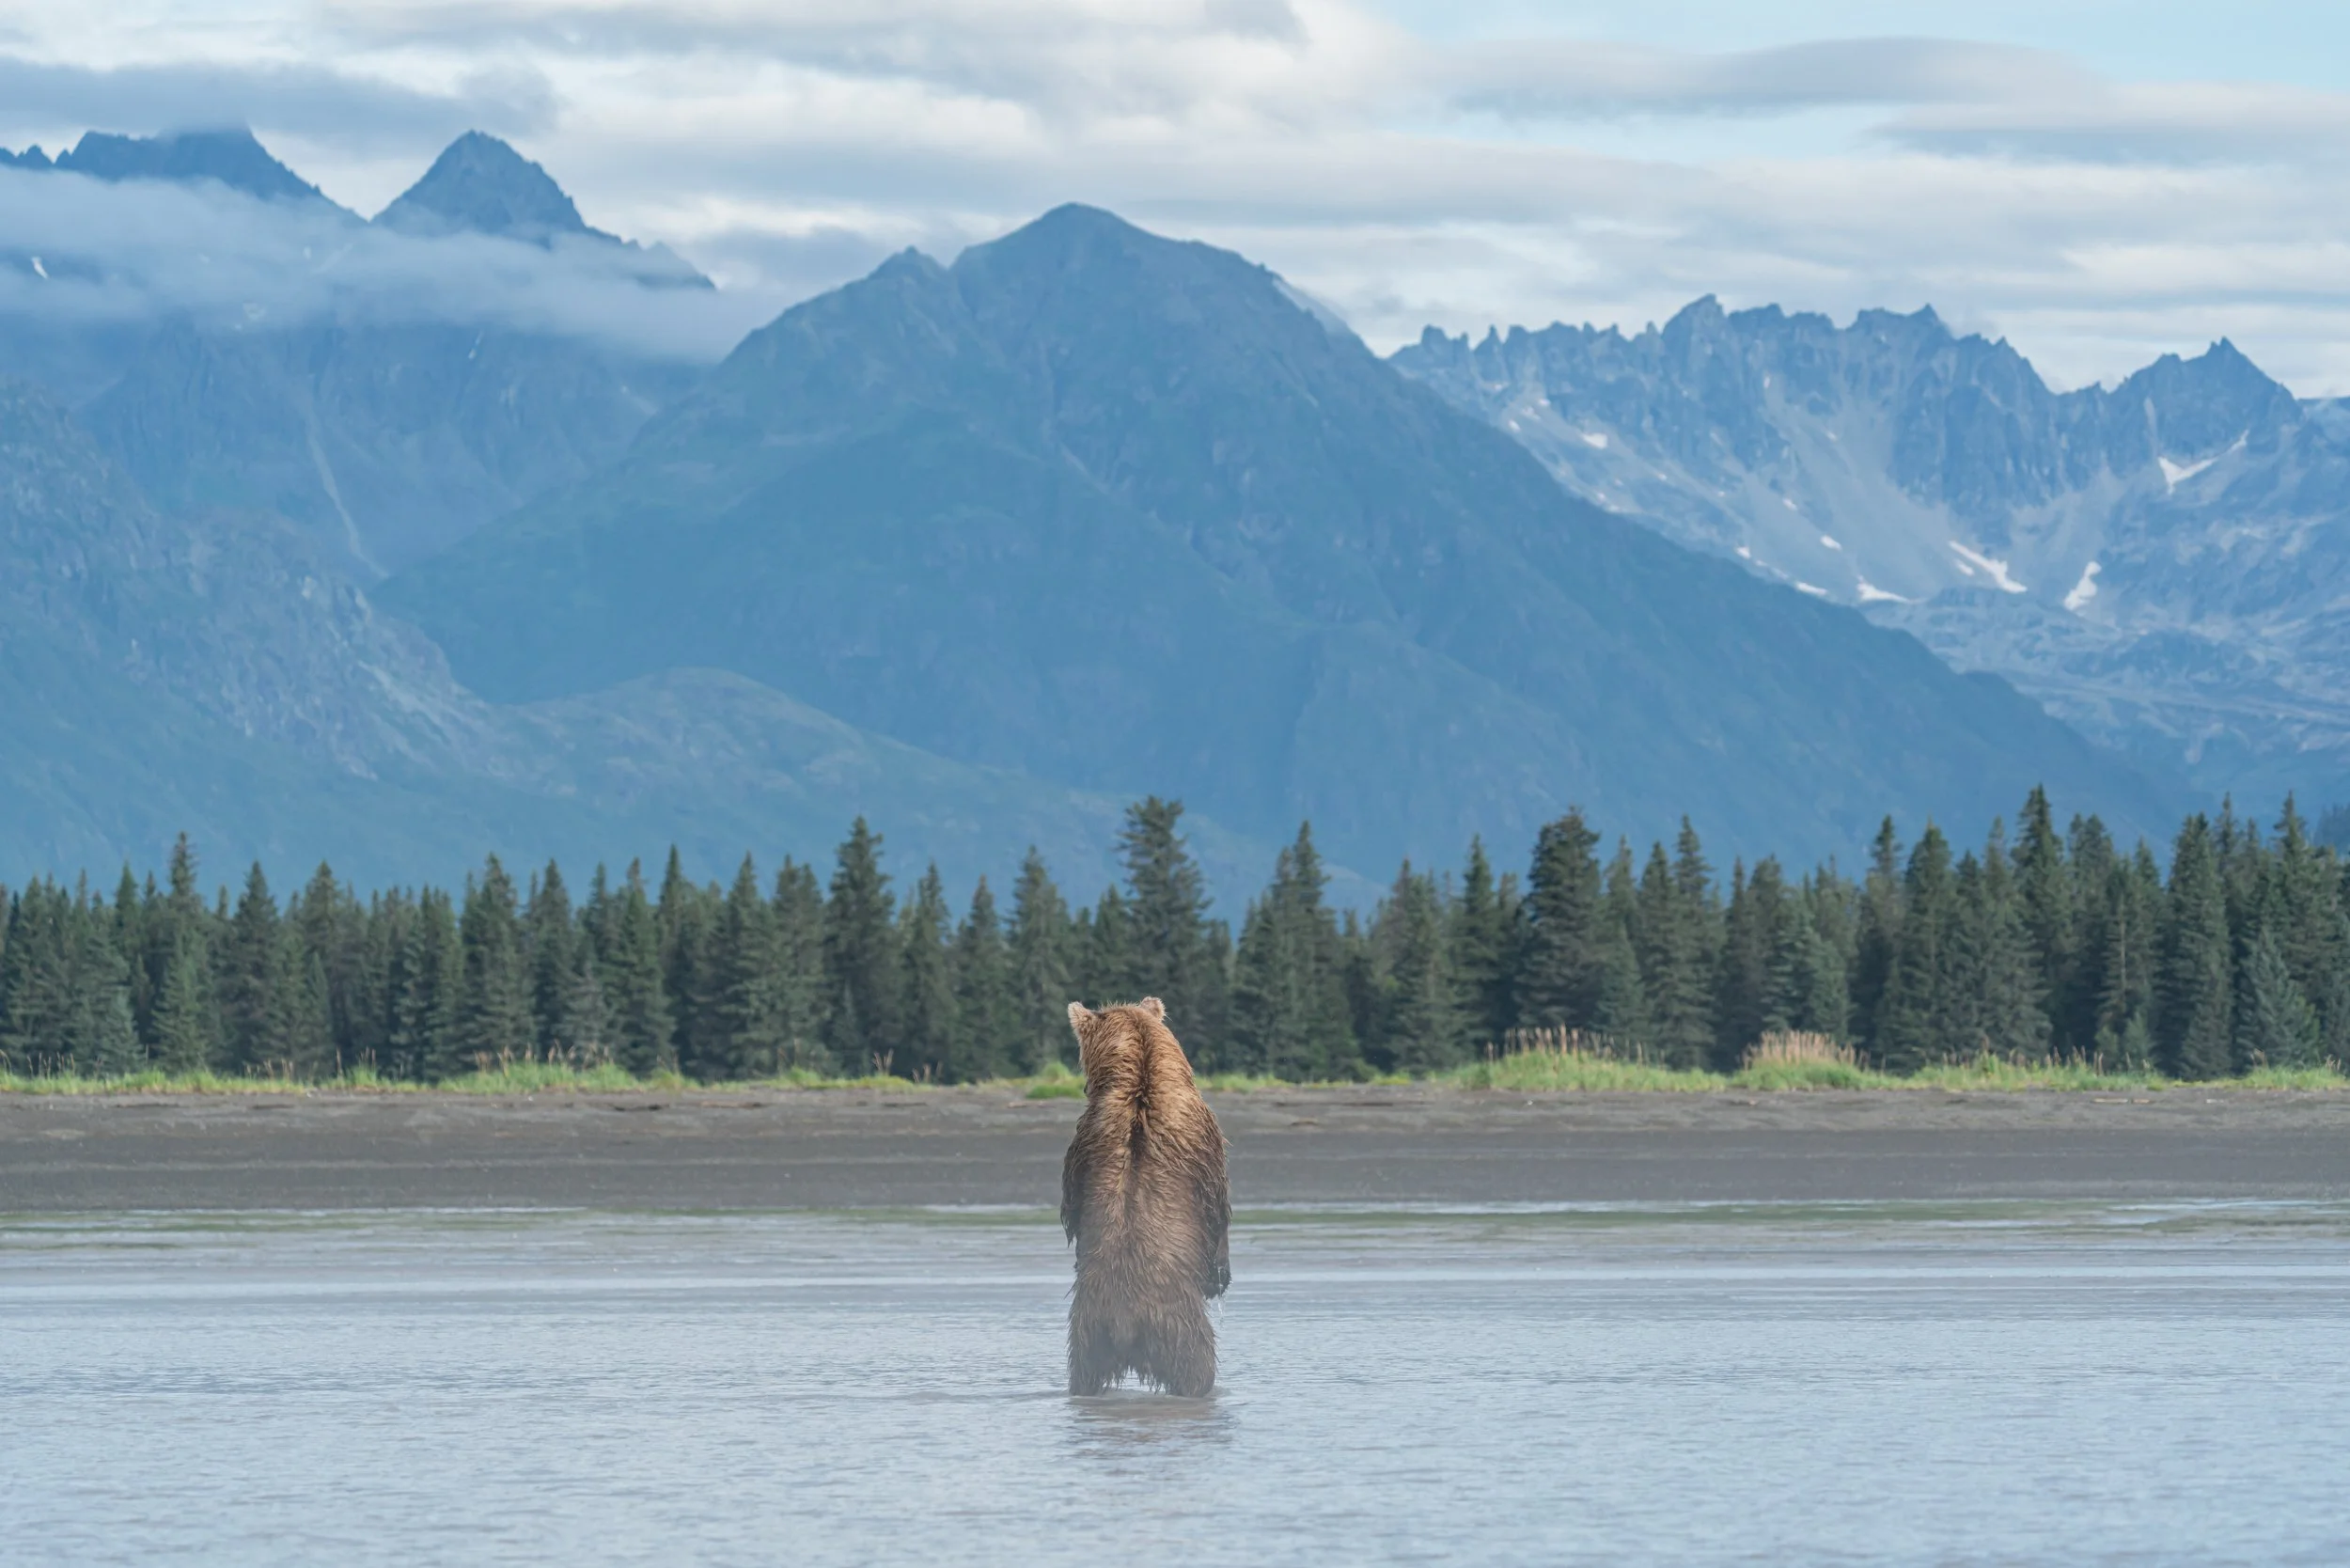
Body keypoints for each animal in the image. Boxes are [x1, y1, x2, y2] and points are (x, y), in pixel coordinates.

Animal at [1061, 998, 1231, 1397]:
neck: (1140, 1076)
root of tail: (1127, 1324)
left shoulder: (1085, 1137)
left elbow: (1072, 1203)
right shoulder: (1204, 1135)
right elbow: (1217, 1204)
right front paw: (1220, 1273)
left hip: (1088, 1330)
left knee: (1082, 1373)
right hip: (1180, 1327)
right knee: (1198, 1367)